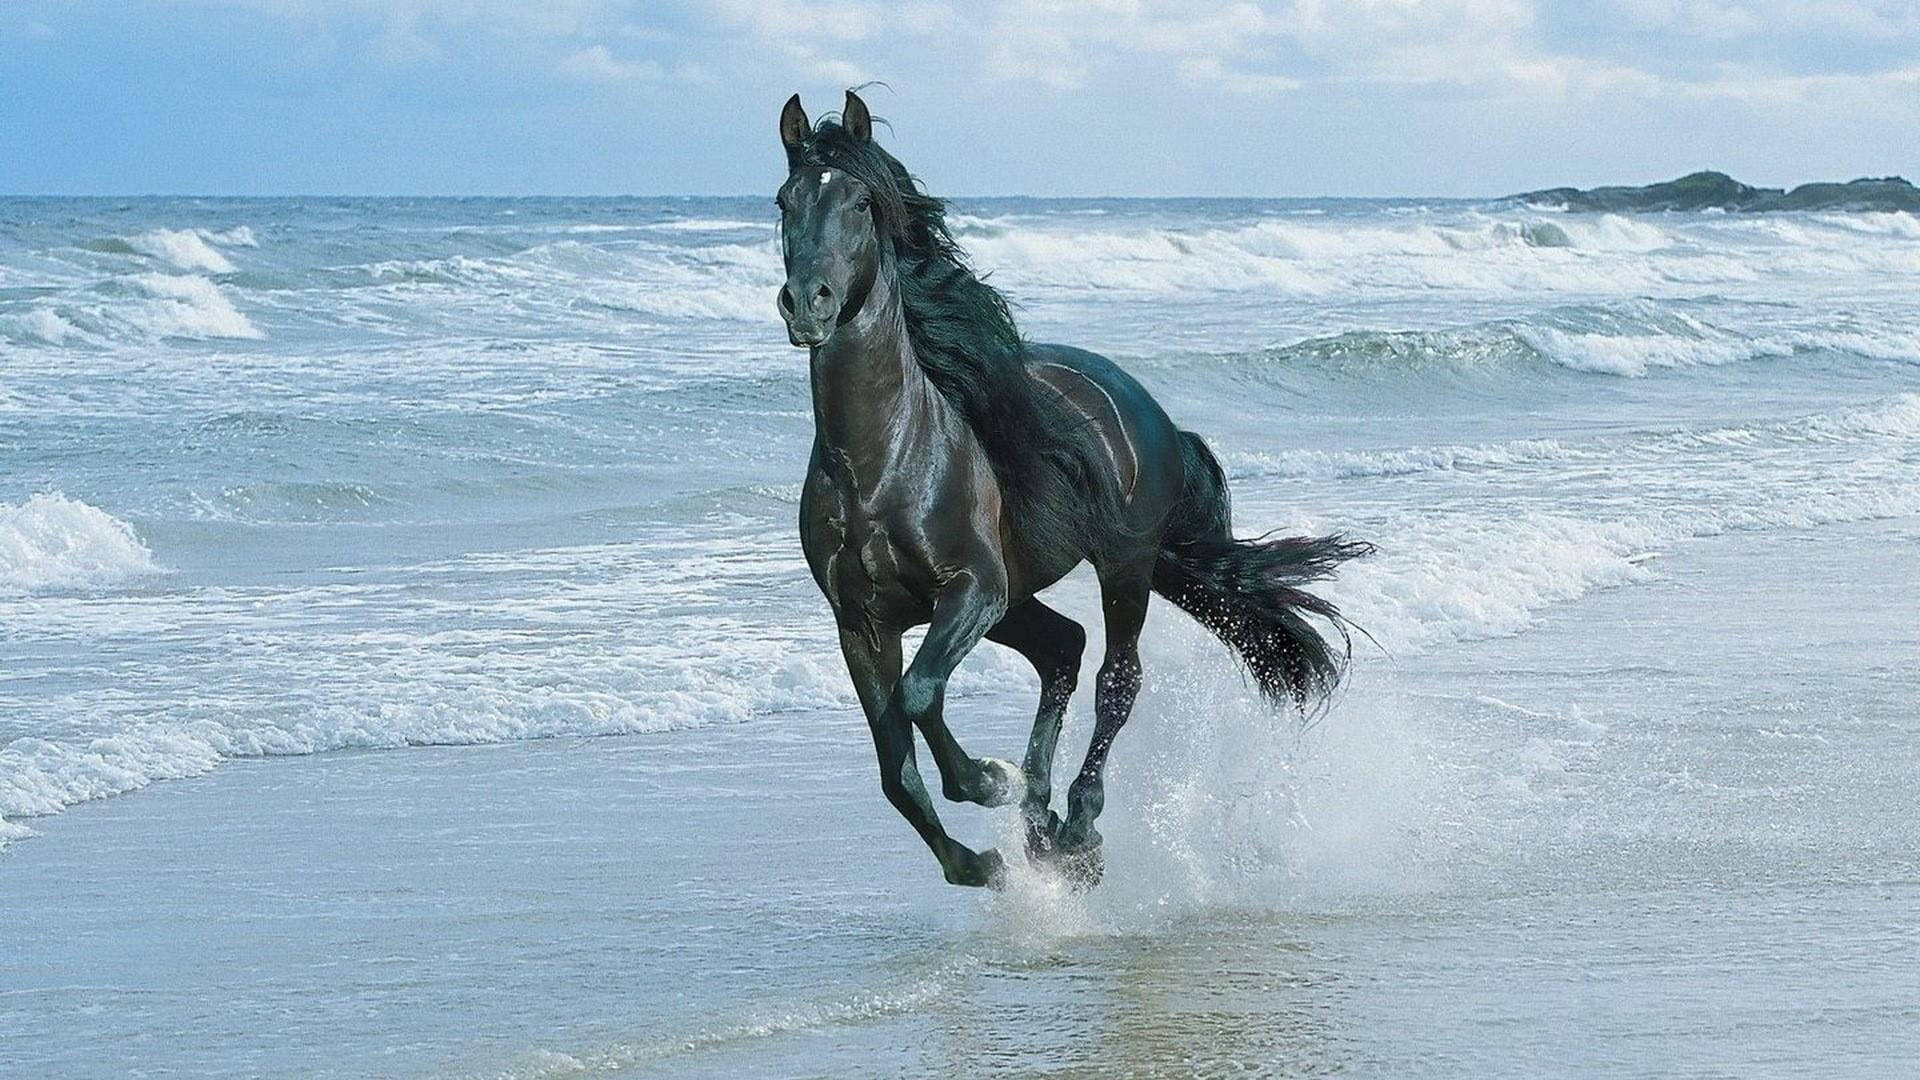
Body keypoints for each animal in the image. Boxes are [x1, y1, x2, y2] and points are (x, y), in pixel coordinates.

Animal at [768, 92, 1367, 883]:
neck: (881, 462)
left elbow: (922, 695)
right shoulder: (861, 623)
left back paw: (1076, 819)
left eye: (862, 203)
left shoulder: (972, 589)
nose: (808, 303)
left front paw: (987, 781)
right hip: (1021, 598)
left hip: (1120, 566)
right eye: (784, 201)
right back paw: (1041, 821)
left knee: (1118, 677)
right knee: (1063, 651)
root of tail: (1147, 409)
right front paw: (979, 861)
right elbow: (895, 768)